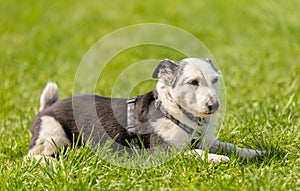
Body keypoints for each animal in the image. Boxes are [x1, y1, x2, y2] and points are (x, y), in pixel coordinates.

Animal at [26, 57, 264, 163]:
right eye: (193, 82)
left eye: (215, 80)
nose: (214, 106)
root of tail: (47, 107)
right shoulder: (162, 151)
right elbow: (194, 152)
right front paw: (217, 159)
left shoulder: (209, 141)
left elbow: (231, 146)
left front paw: (253, 153)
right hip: (53, 135)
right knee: (30, 156)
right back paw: (51, 161)